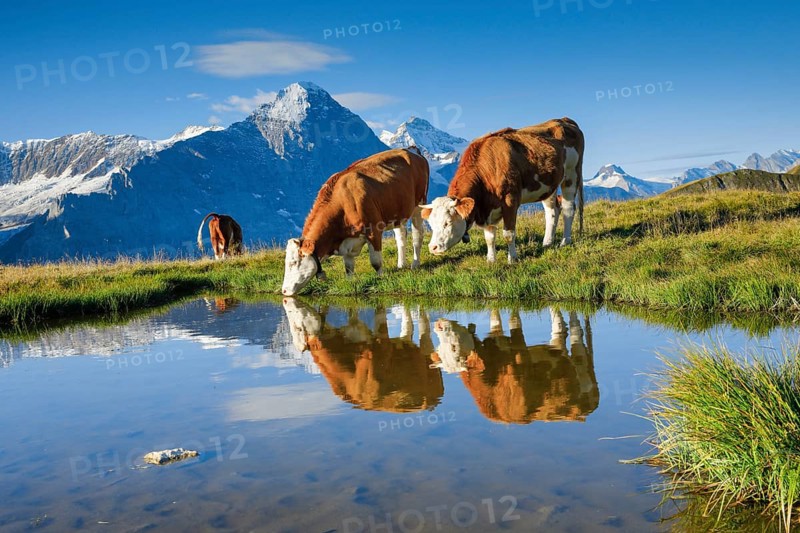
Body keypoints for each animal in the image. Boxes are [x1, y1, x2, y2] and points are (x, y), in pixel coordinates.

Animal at [282, 147, 429, 296]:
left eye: (294, 262)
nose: (284, 290)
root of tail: (410, 150)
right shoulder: (346, 243)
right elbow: (348, 268)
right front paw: (350, 283)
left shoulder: (373, 230)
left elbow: (376, 262)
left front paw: (381, 278)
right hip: (398, 213)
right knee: (401, 237)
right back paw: (401, 265)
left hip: (419, 203)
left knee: (417, 235)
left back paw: (415, 264)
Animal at [420, 118, 584, 263]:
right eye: (431, 223)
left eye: (447, 223)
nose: (433, 247)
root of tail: (563, 119)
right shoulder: (487, 209)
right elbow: (489, 237)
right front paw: (491, 260)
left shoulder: (510, 202)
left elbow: (508, 234)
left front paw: (512, 259)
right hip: (548, 185)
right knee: (552, 210)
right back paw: (547, 242)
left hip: (572, 174)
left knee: (568, 208)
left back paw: (565, 241)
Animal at [430, 308, 598, 424]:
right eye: (440, 349)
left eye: (454, 348)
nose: (438, 325)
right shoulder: (496, 338)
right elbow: (495, 319)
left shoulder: (520, 353)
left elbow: (514, 320)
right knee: (560, 331)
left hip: (583, 372)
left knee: (576, 332)